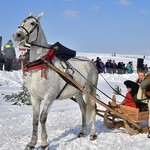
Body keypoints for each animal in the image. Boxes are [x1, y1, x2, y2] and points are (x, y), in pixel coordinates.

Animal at [12, 12, 98, 149]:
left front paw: (44, 143)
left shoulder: (49, 97)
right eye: (22, 21)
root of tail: (91, 62)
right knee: (84, 108)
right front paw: (32, 143)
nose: (17, 34)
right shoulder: (34, 97)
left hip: (91, 90)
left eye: (33, 23)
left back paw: (93, 134)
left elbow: (42, 118)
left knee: (94, 108)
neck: (41, 64)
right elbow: (35, 120)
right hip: (78, 92)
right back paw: (82, 132)